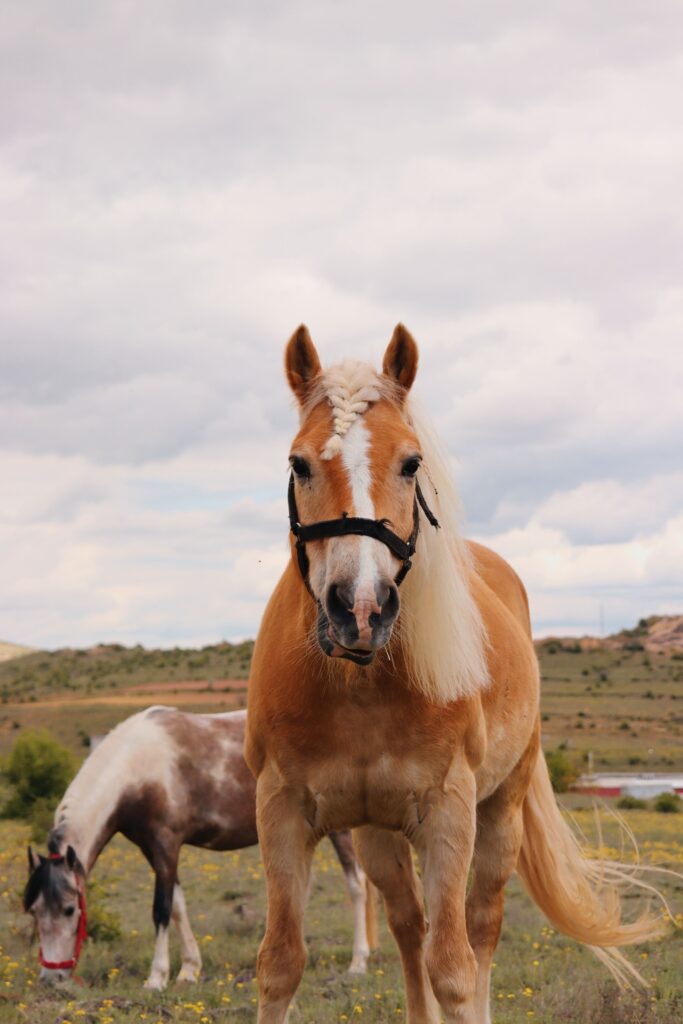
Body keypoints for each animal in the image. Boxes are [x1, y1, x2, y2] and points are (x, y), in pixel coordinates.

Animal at [23, 706, 376, 989]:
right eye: (35, 910)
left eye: (70, 909)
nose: (51, 978)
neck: (137, 769)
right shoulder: (152, 849)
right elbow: (178, 905)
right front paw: (189, 970)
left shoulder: (166, 843)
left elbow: (162, 908)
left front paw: (157, 977)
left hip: (339, 829)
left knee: (356, 885)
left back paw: (359, 962)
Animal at [244, 325, 666, 1024]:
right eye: (298, 464)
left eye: (411, 463)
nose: (360, 607)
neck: (361, 687)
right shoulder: (281, 807)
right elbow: (281, 965)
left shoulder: (449, 812)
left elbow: (455, 969)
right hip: (378, 834)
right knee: (408, 925)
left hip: (501, 812)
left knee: (480, 926)